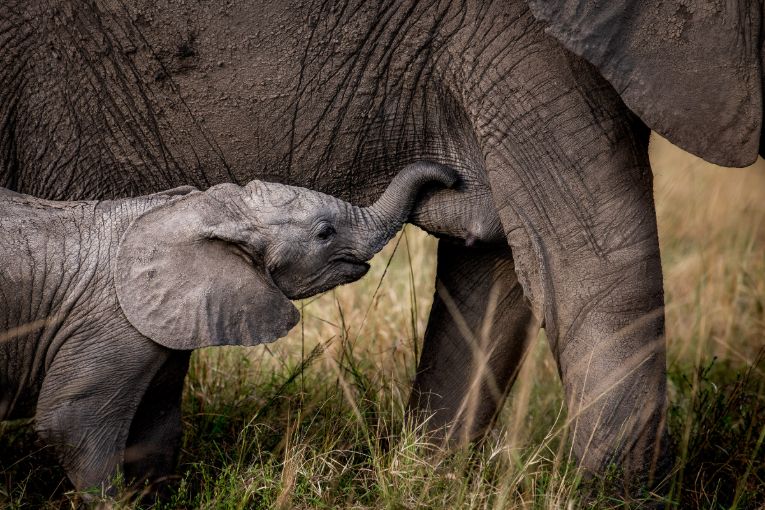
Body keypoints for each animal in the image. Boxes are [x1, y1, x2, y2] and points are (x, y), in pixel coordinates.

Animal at [0, 161, 454, 492]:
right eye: (326, 233)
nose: (451, 176)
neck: (198, 210)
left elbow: (156, 422)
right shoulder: (113, 322)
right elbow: (72, 423)